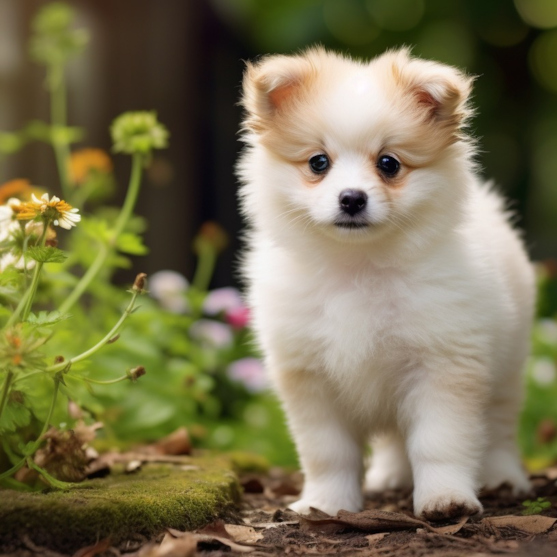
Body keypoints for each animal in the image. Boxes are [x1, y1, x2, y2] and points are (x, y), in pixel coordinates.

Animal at [236, 47, 536, 520]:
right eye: (318, 162)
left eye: (389, 164)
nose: (352, 198)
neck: (358, 266)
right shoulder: (310, 377)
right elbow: (328, 452)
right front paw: (325, 504)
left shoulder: (444, 364)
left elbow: (439, 443)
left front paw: (445, 499)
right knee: (396, 438)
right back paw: (391, 476)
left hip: (507, 366)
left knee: (501, 426)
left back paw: (502, 477)